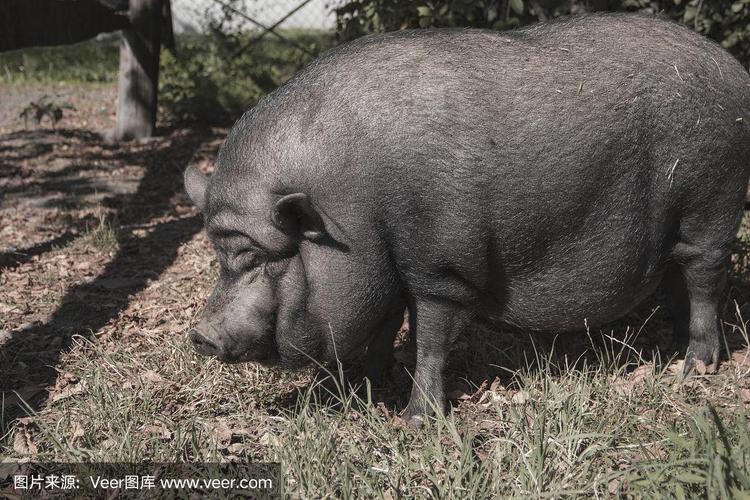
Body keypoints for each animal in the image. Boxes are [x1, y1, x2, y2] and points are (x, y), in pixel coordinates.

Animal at [184, 13, 750, 426]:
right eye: (219, 255)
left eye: (258, 257)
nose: (199, 334)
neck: (350, 213)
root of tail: (736, 71)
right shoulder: (388, 267)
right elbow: (384, 325)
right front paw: (370, 386)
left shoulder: (441, 270)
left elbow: (430, 339)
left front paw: (415, 420)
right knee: (678, 276)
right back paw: (674, 350)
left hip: (712, 203)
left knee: (705, 277)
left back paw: (696, 367)